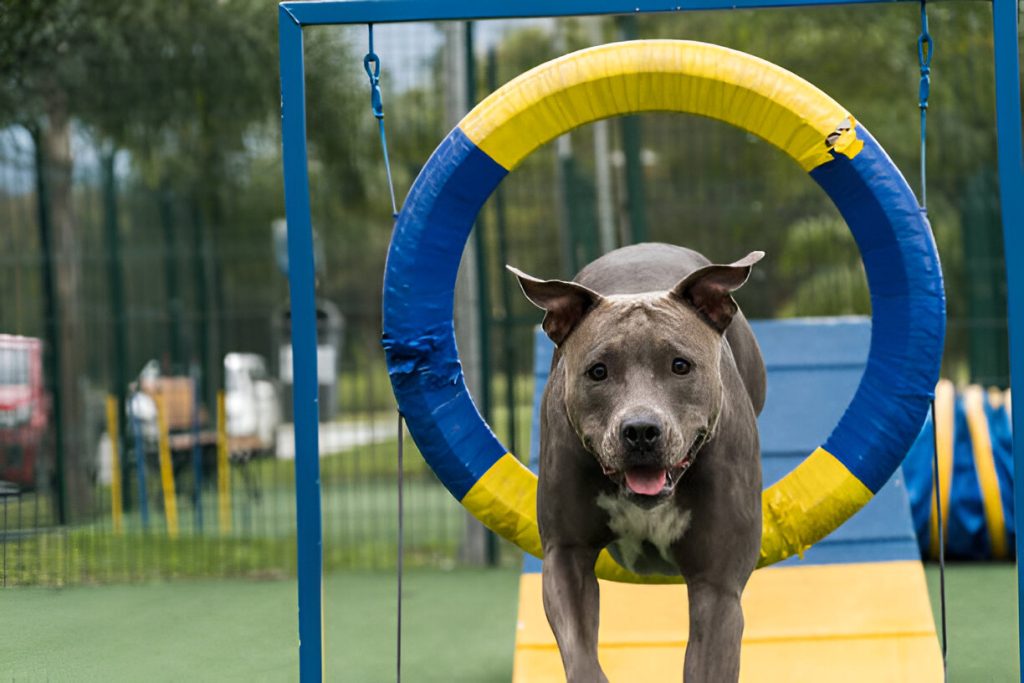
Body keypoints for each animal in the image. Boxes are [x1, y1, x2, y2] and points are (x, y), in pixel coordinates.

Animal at [507, 242, 765, 679]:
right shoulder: (566, 554)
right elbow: (580, 650)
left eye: (680, 365)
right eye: (598, 371)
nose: (641, 430)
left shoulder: (717, 585)